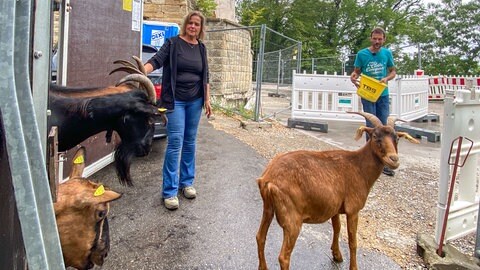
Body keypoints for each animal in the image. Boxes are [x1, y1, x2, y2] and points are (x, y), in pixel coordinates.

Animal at [256, 110, 418, 268]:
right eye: (375, 136)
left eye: (397, 138)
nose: (394, 160)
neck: (359, 167)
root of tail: (267, 179)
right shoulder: (353, 209)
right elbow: (352, 242)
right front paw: (353, 266)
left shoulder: (334, 207)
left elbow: (337, 228)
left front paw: (337, 255)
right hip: (292, 217)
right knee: (283, 257)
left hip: (268, 208)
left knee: (260, 237)